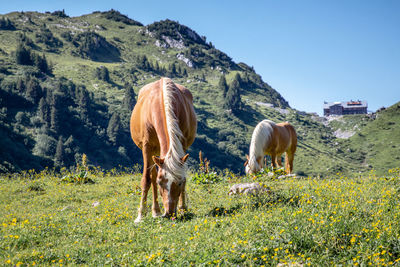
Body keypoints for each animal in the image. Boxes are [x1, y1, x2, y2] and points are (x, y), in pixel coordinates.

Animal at [130, 78, 197, 224]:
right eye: (161, 182)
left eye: (178, 183)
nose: (169, 213)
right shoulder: (147, 147)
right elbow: (147, 180)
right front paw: (140, 215)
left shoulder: (182, 145)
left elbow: (183, 175)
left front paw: (182, 208)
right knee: (152, 176)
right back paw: (156, 211)